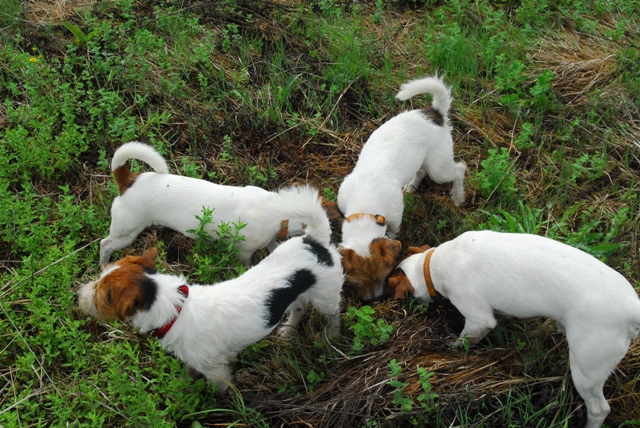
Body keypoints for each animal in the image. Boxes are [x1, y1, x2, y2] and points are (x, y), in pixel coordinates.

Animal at [77, 186, 342, 392]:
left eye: (104, 295)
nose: (79, 295)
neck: (176, 308)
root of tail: (314, 241)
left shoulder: (216, 369)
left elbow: (222, 389)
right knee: (298, 309)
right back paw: (288, 330)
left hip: (327, 297)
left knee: (333, 314)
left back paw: (332, 335)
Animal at [100, 142, 318, 266]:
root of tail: (128, 180)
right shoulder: (244, 252)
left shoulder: (270, 240)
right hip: (126, 233)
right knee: (105, 244)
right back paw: (103, 266)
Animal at [324, 77, 464, 302]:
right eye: (355, 280)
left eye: (384, 275)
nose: (373, 299)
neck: (365, 206)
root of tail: (434, 113)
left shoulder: (396, 218)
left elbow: (393, 231)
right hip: (424, 161)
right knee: (421, 171)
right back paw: (412, 186)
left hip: (439, 168)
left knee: (460, 169)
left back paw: (458, 196)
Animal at [384, 231, 640, 428]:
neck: (434, 263)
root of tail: (632, 307)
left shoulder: (478, 318)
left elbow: (466, 338)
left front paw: (454, 346)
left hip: (587, 368)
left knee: (599, 408)